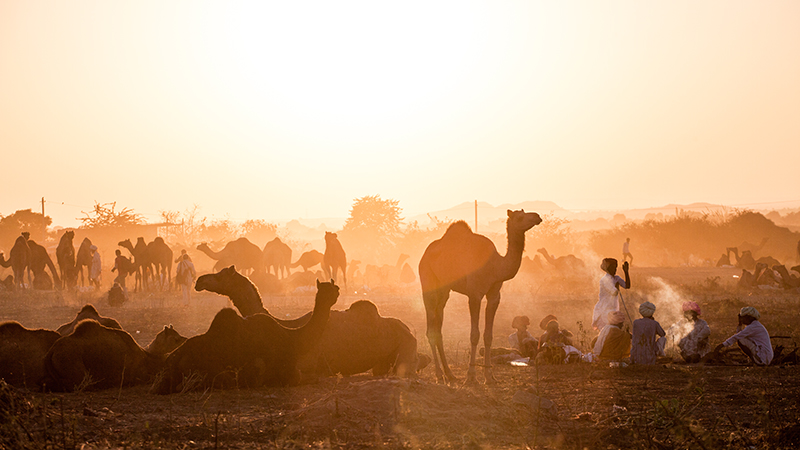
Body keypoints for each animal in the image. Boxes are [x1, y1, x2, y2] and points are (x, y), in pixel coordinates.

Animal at [155, 280, 338, 392]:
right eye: (330, 289)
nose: (337, 290)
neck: (293, 338)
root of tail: (169, 364)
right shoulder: (290, 374)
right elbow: (310, 378)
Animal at [194, 268, 424, 380]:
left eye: (221, 275)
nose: (199, 281)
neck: (291, 328)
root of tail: (409, 330)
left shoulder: (308, 366)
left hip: (406, 348)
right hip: (384, 360)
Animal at [418, 208, 544, 384]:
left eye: (524, 212)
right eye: (520, 217)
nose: (537, 217)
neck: (496, 266)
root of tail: (425, 254)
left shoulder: (494, 295)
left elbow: (488, 335)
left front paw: (490, 376)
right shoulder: (475, 295)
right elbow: (474, 335)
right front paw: (471, 377)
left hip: (444, 290)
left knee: (438, 328)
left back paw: (450, 374)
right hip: (427, 281)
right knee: (430, 329)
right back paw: (439, 375)